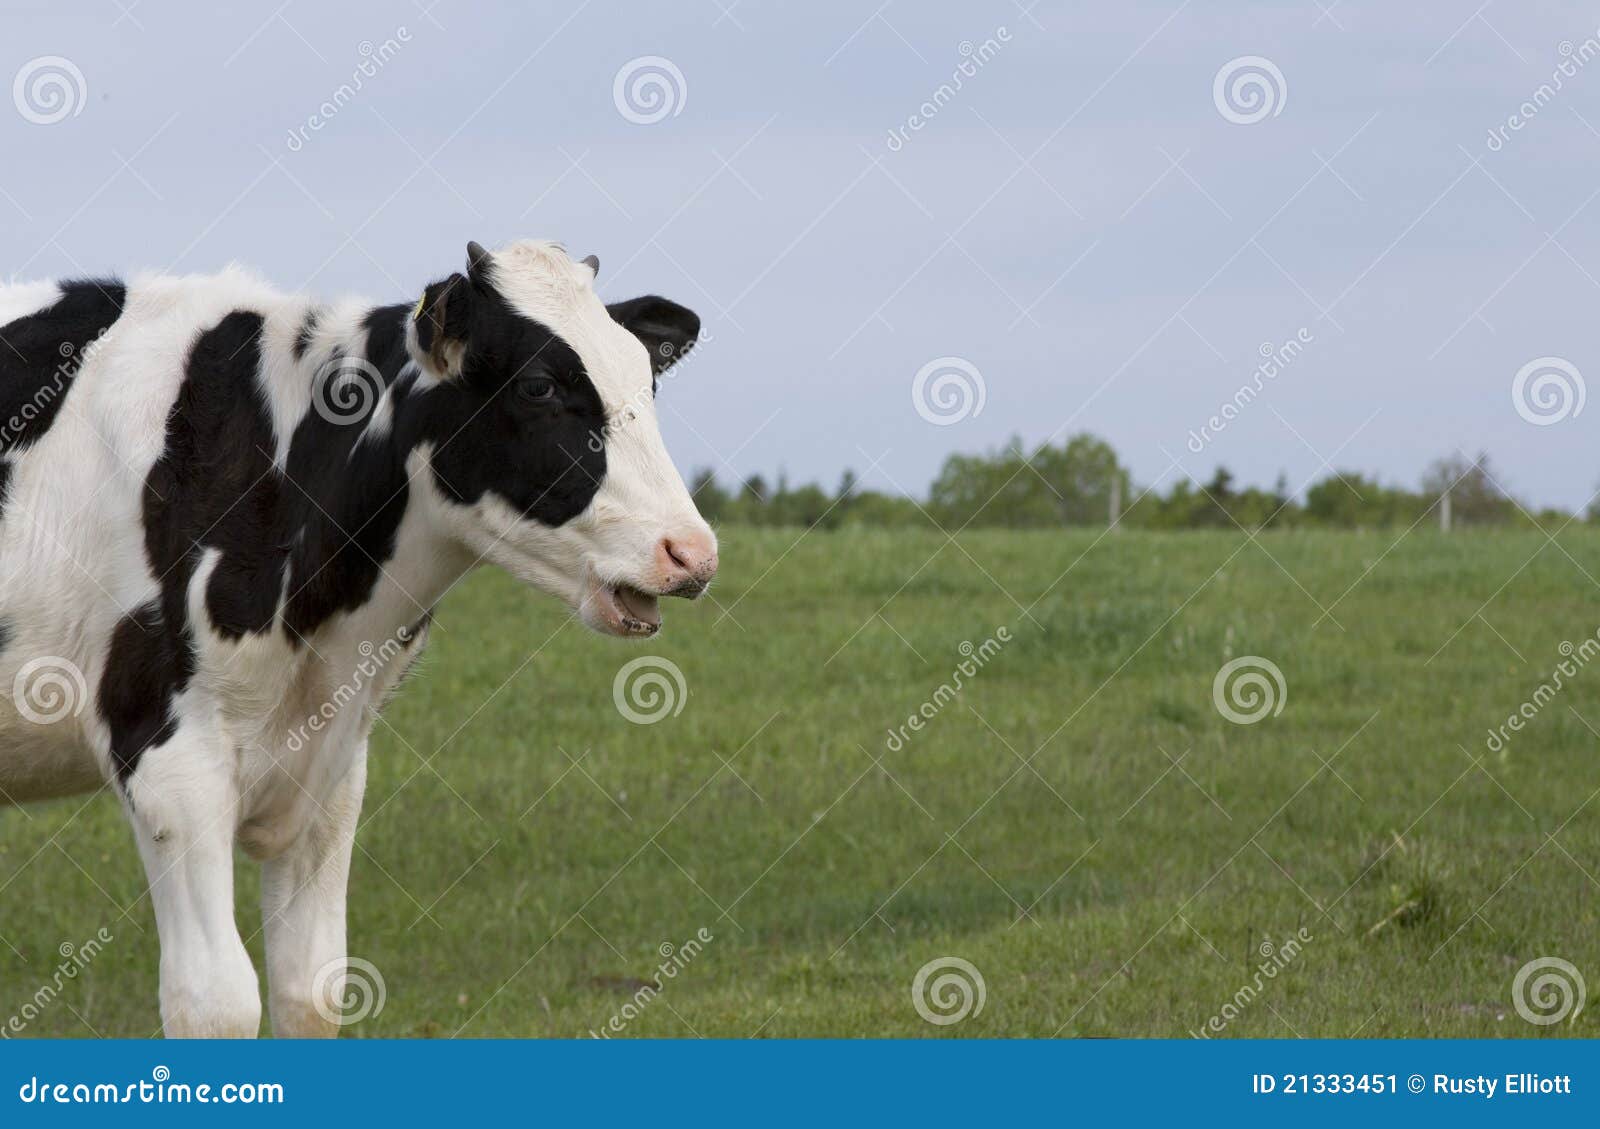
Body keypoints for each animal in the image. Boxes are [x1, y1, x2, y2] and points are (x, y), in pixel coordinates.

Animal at [0, 240, 718, 1037]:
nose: (691, 552)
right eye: (537, 386)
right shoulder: (167, 756)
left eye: (646, 378)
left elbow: (310, 989)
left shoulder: (332, 764)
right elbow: (217, 1000)